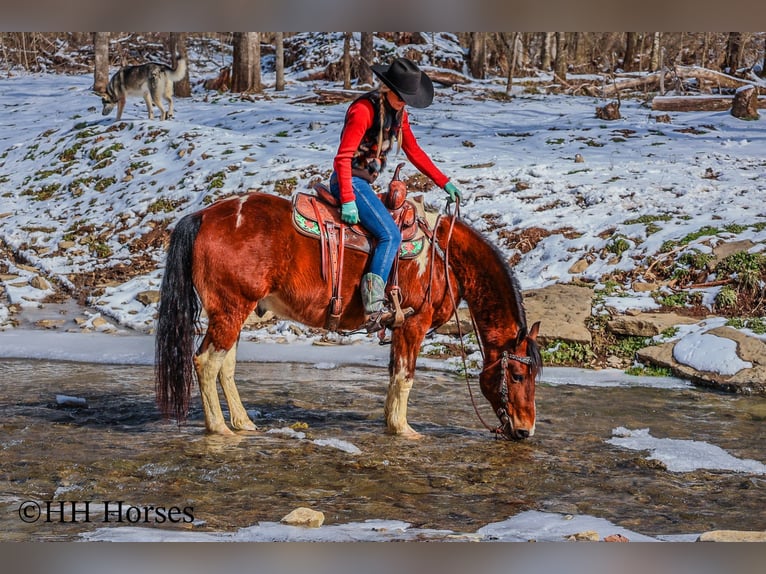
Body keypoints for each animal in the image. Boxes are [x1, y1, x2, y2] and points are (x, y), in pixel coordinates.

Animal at [155, 190, 541, 440]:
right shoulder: (413, 325)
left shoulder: (398, 328)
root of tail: (203, 216)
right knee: (206, 363)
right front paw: (405, 430)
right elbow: (405, 376)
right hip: (230, 310)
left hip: (237, 312)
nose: (525, 430)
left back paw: (242, 422)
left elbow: (393, 376)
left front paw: (391, 423)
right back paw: (219, 427)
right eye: (518, 375)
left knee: (226, 367)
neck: (443, 257)